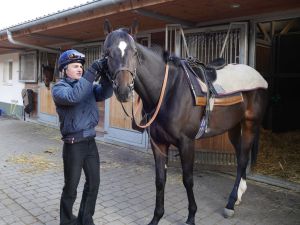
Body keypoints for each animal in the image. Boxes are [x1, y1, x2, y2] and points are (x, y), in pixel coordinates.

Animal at [102, 19, 268, 225]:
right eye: (107, 53)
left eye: (135, 53)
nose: (124, 90)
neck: (167, 90)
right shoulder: (158, 143)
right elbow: (160, 180)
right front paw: (156, 217)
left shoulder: (186, 142)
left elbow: (188, 179)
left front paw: (191, 216)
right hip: (233, 127)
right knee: (239, 157)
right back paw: (237, 196)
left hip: (250, 124)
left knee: (243, 158)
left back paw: (230, 204)